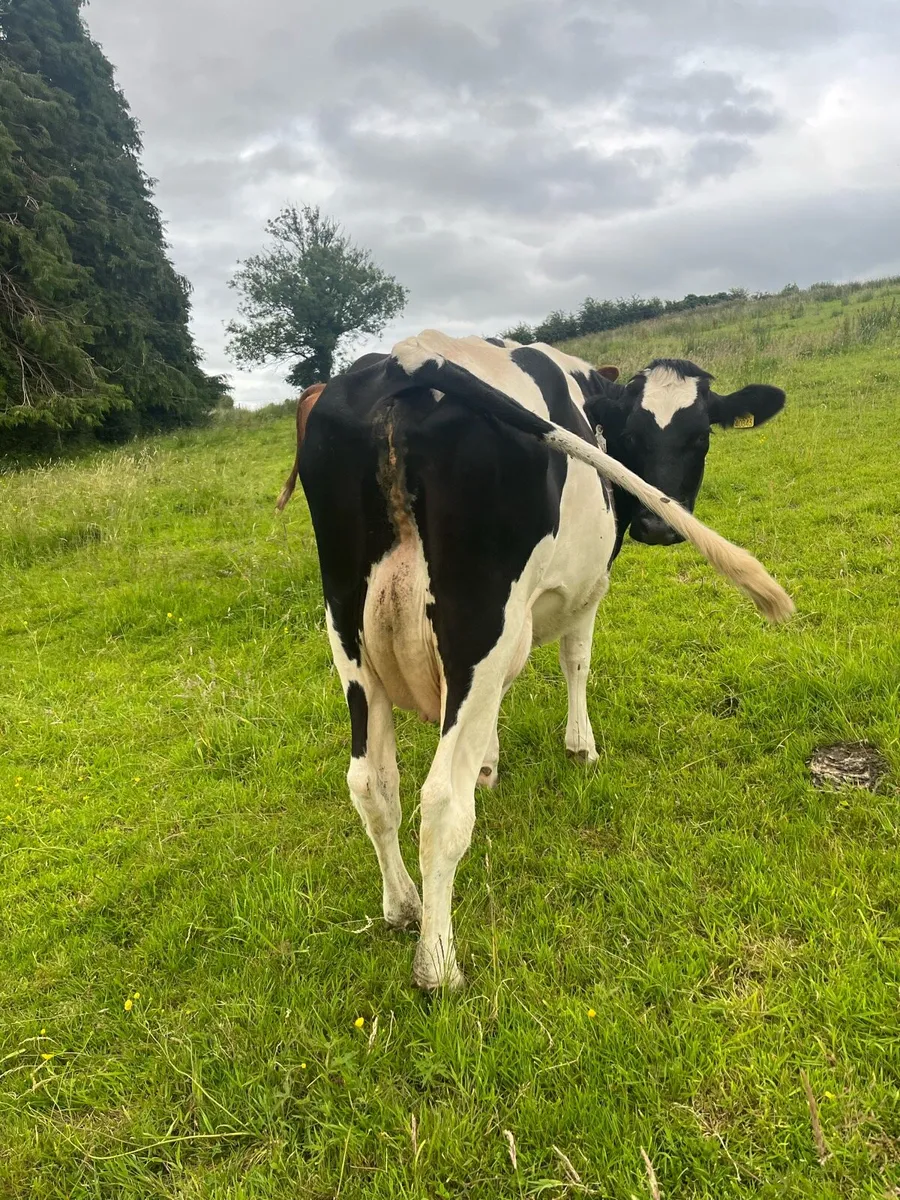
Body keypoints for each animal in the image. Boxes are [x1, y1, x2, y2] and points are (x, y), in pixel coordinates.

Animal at [285, 331, 792, 990]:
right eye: (634, 439)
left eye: (699, 435)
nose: (657, 526)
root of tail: (404, 358)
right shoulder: (584, 591)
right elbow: (577, 660)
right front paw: (581, 747)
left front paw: (490, 761)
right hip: (481, 615)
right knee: (442, 802)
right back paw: (438, 963)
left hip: (346, 623)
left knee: (371, 781)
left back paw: (402, 907)